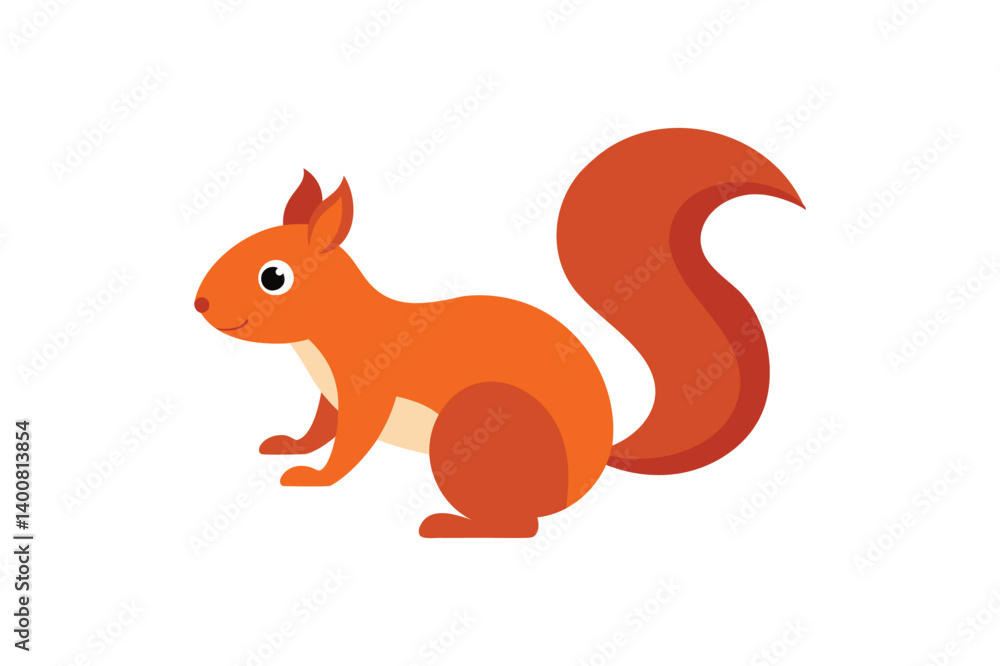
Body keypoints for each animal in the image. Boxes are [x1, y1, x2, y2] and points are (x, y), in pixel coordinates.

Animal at [194, 128, 804, 538]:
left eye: (274, 277)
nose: (199, 304)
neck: (326, 333)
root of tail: (586, 473)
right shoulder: (332, 393)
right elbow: (321, 426)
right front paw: (291, 445)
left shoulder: (368, 389)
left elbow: (350, 445)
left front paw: (315, 478)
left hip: (473, 428)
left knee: (523, 525)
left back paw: (452, 525)